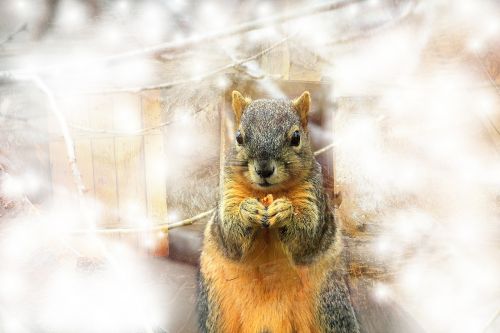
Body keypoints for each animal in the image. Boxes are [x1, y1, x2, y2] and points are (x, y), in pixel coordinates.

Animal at [196, 90, 360, 332]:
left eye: (296, 137)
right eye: (239, 137)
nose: (264, 169)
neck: (269, 193)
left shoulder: (312, 194)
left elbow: (307, 236)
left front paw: (286, 212)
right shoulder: (228, 191)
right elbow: (230, 236)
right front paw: (247, 211)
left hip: (329, 306)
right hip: (217, 311)